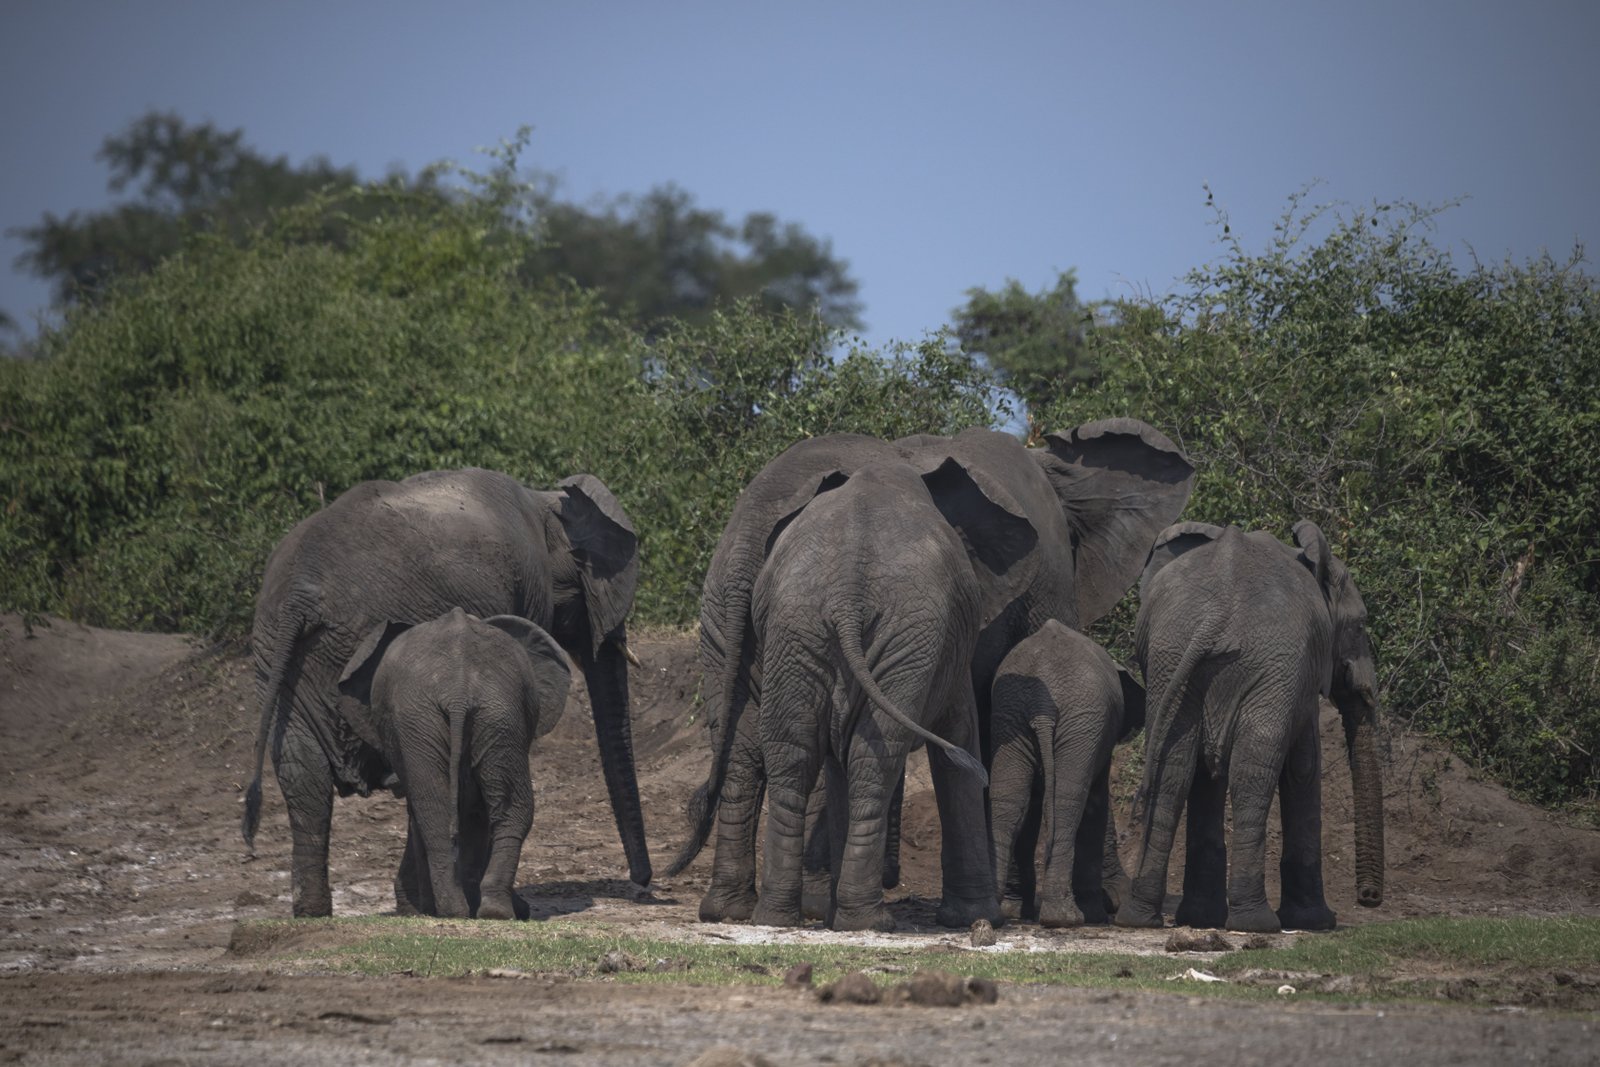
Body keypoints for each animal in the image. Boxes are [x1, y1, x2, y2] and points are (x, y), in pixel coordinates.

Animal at [335, 608, 572, 920]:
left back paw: (450, 910)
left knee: (433, 813)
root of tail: (458, 688)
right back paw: (492, 911)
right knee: (507, 808)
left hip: (424, 719)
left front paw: (417, 908)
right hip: (498, 714)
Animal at [749, 458, 1023, 931]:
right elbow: (958, 738)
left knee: (797, 752)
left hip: (800, 629)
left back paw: (782, 918)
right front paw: (979, 917)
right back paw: (868, 921)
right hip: (897, 635)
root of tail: (846, 592)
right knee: (872, 761)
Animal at [989, 620, 1145, 928]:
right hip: (1079, 721)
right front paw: (1096, 914)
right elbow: (1096, 804)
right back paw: (1065, 918)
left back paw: (1002, 911)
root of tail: (1041, 708)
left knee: (1009, 801)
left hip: (1009, 714)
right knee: (1067, 803)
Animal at [1116, 520, 1385, 933]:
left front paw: (1201, 918)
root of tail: (1215, 616)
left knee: (1173, 769)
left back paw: (1143, 919)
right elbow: (1304, 767)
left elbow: (1202, 772)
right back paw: (1256, 923)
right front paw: (1317, 922)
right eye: (1359, 626)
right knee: (1252, 770)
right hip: (1271, 663)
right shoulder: (1302, 676)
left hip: (1169, 657)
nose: (1369, 898)